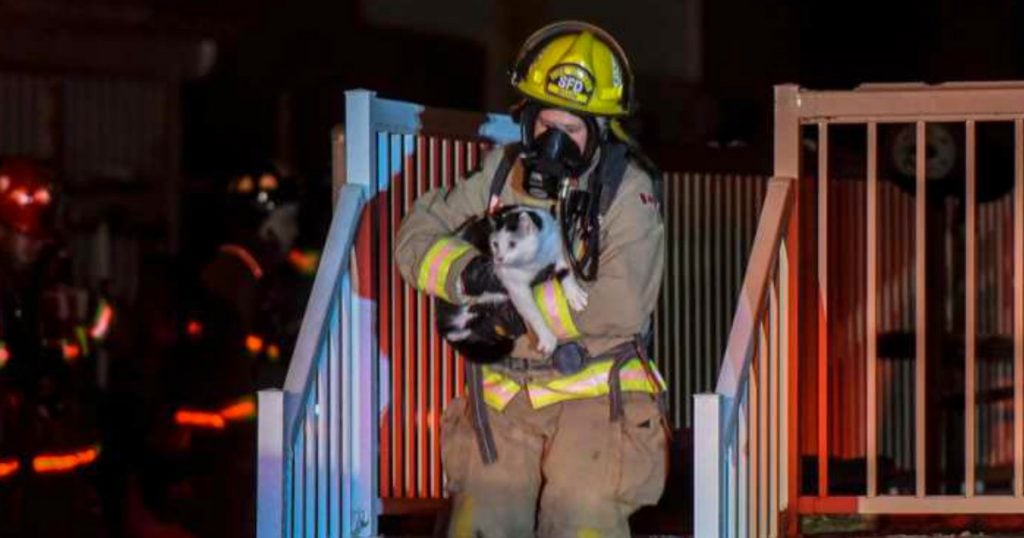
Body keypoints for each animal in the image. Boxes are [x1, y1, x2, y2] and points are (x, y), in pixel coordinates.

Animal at [436, 204, 589, 360]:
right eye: (495, 244)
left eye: (512, 244)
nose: (498, 259)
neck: (533, 261)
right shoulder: (516, 287)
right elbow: (532, 311)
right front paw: (547, 338)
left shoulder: (555, 249)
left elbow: (565, 269)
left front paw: (575, 294)